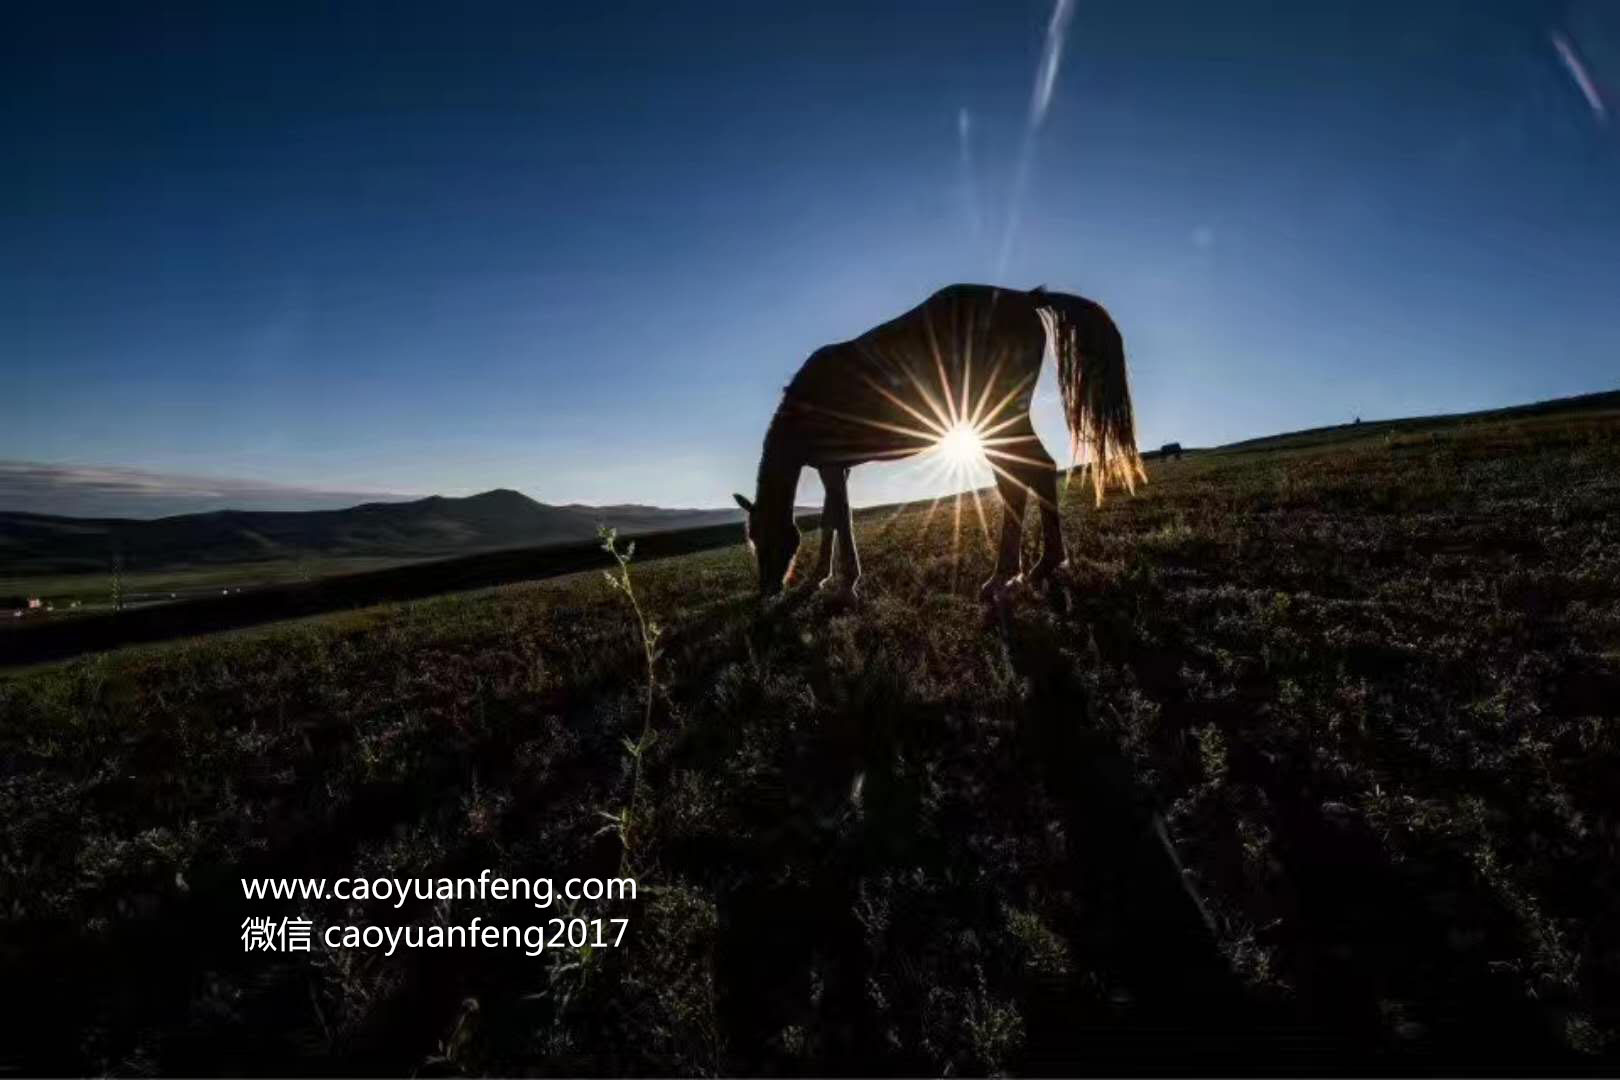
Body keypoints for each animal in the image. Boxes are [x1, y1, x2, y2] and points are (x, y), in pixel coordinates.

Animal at [735, 283, 1140, 605]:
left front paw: (846, 585)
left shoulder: (832, 465)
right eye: (752, 538)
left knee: (1027, 472)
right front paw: (820, 578)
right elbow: (830, 518)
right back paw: (1026, 569)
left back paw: (1017, 572)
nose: (768, 590)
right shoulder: (837, 467)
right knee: (1022, 476)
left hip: (994, 413)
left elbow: (840, 517)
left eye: (766, 538)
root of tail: (1025, 297)